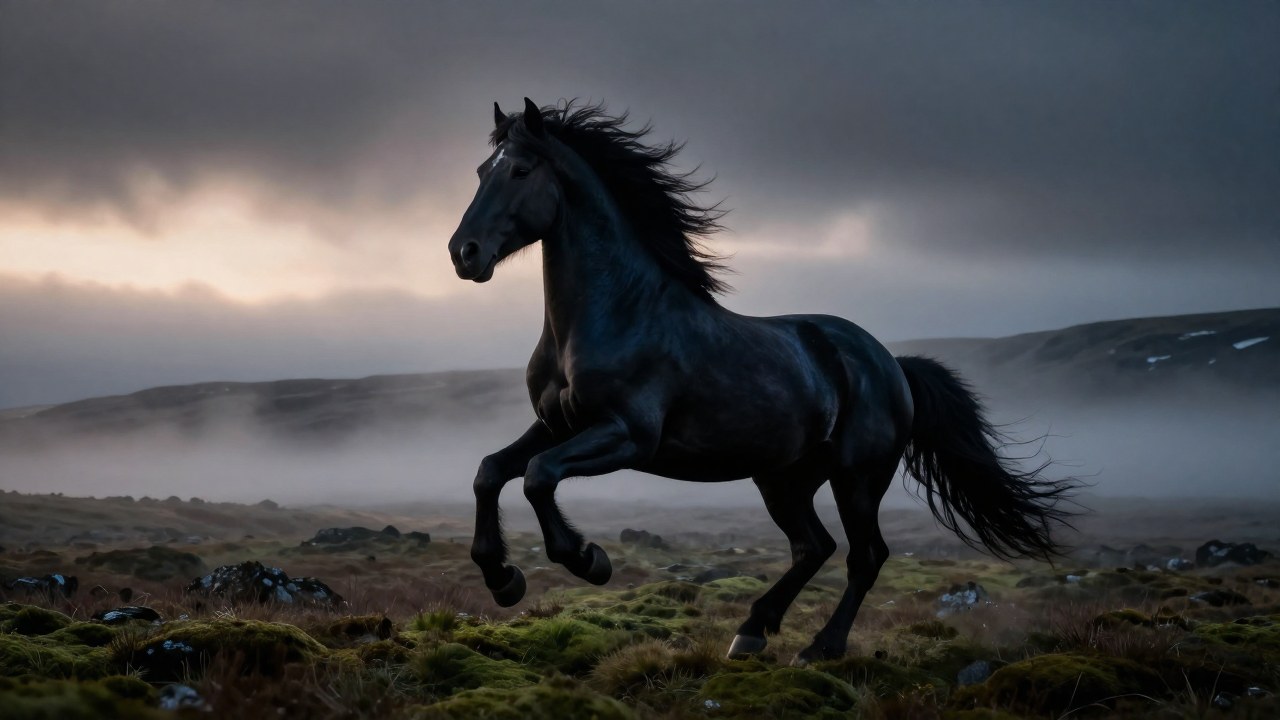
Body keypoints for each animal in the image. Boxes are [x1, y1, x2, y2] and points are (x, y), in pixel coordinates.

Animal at [446, 98, 1076, 664]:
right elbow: (491, 471)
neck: (615, 312)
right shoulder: (557, 424)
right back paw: (751, 632)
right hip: (783, 478)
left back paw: (820, 648)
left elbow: (537, 476)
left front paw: (587, 560)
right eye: (480, 171)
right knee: (813, 546)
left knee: (864, 555)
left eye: (520, 171)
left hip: (857, 477)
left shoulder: (627, 435)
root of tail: (892, 364)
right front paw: (503, 578)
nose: (463, 253)